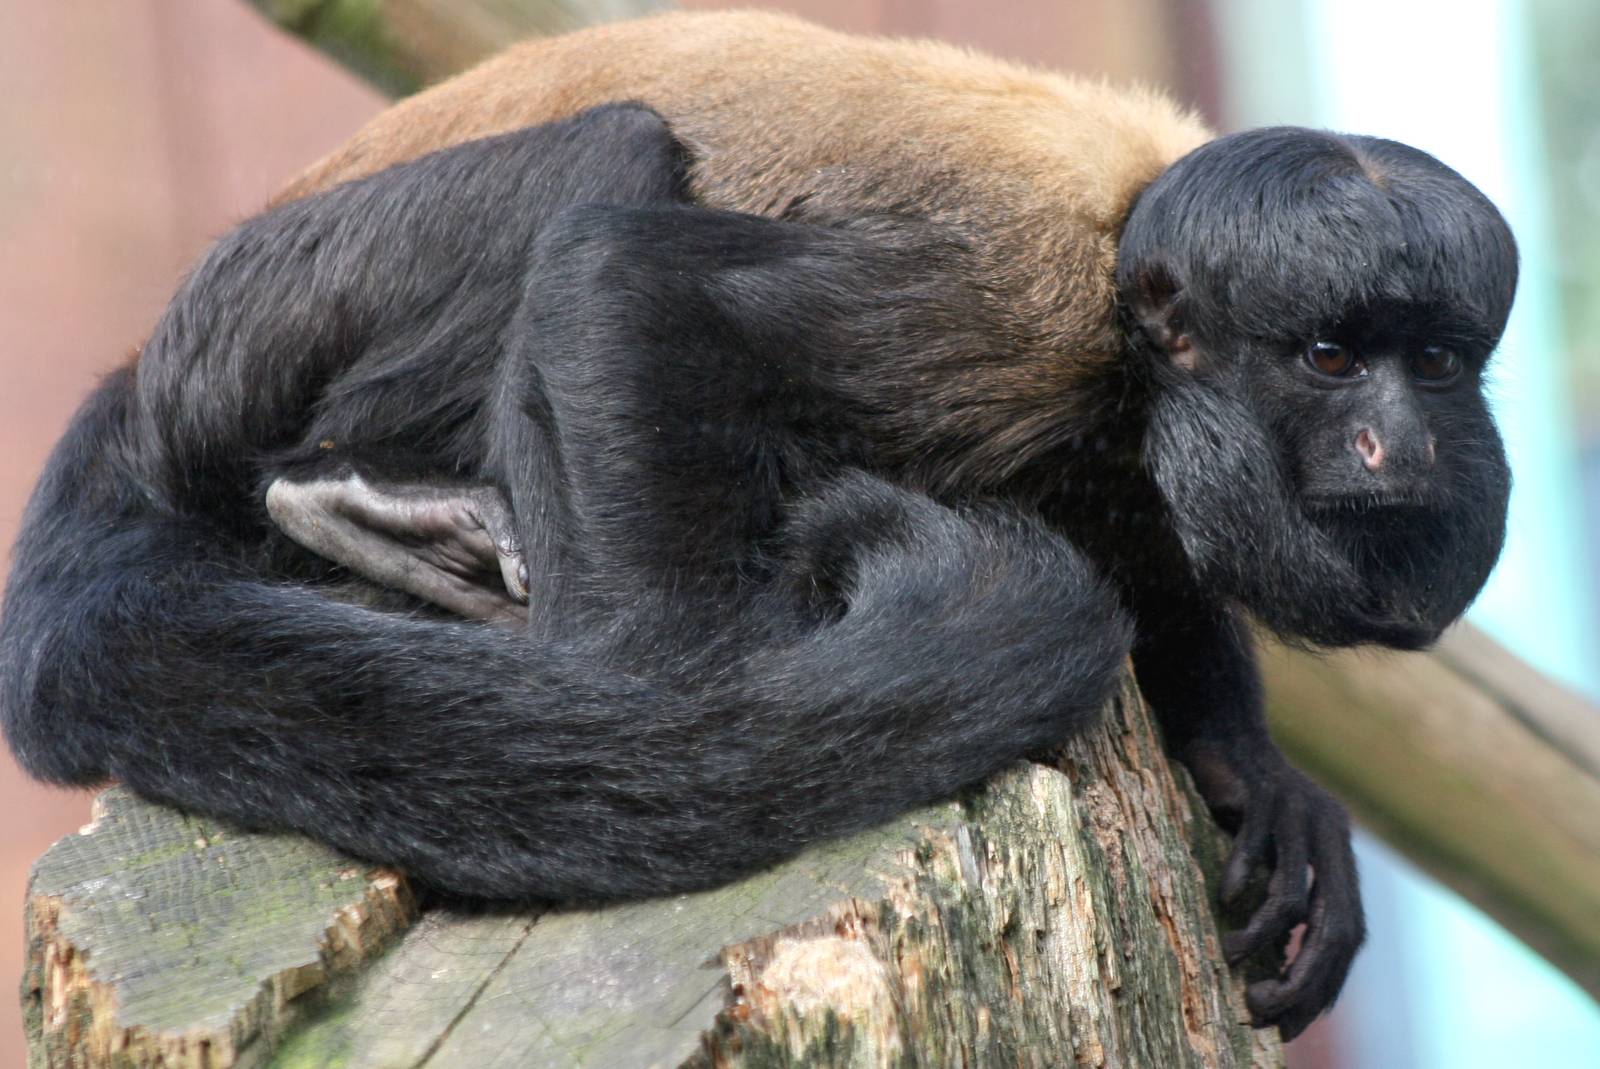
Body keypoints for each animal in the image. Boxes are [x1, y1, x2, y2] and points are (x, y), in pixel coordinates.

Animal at [0, 10, 1510, 1043]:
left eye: (1436, 363)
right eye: (1329, 360)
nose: (1401, 439)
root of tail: (141, 378)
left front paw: (1257, 774)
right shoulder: (1010, 312)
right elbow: (620, 280)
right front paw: (694, 722)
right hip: (261, 328)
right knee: (611, 157)